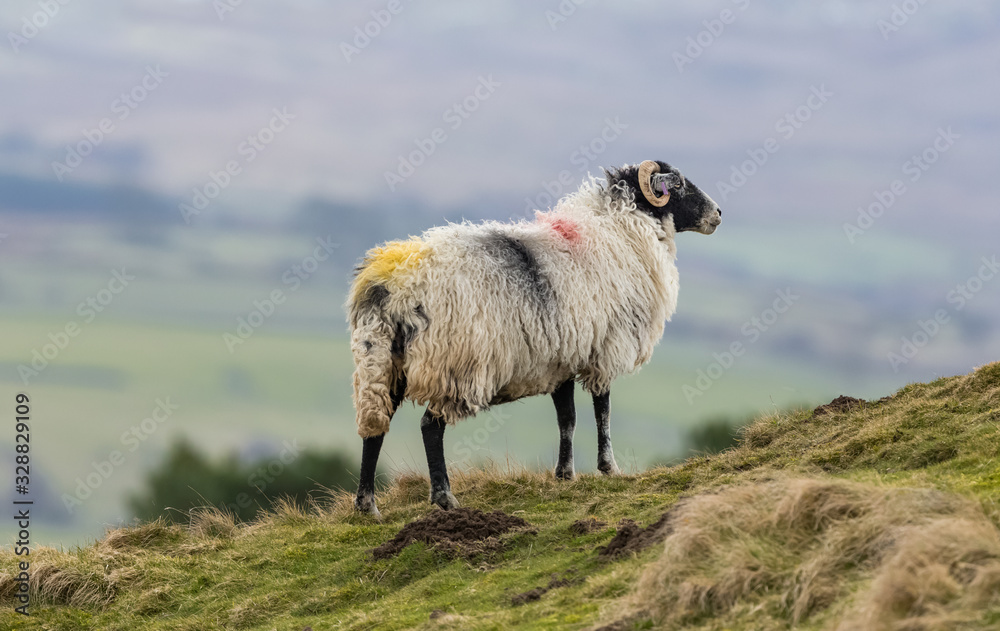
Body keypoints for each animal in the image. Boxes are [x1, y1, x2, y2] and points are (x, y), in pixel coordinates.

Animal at [348, 161, 722, 515]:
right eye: (679, 185)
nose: (718, 213)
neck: (620, 229)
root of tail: (393, 281)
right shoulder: (604, 349)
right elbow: (602, 411)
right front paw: (609, 468)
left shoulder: (563, 358)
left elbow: (567, 419)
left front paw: (565, 474)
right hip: (453, 364)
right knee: (429, 427)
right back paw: (444, 498)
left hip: (380, 362)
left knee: (374, 428)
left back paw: (368, 505)